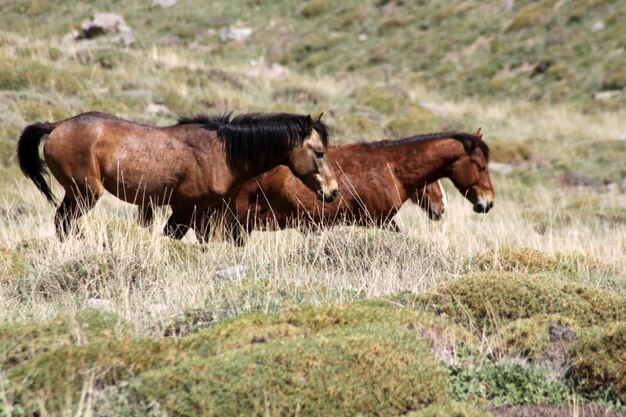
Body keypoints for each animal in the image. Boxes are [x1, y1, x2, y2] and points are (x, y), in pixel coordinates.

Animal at [17, 111, 336, 240]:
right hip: (85, 192)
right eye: (320, 152)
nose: (332, 192)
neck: (221, 153)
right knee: (64, 222)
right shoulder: (185, 207)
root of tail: (56, 126)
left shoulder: (206, 211)